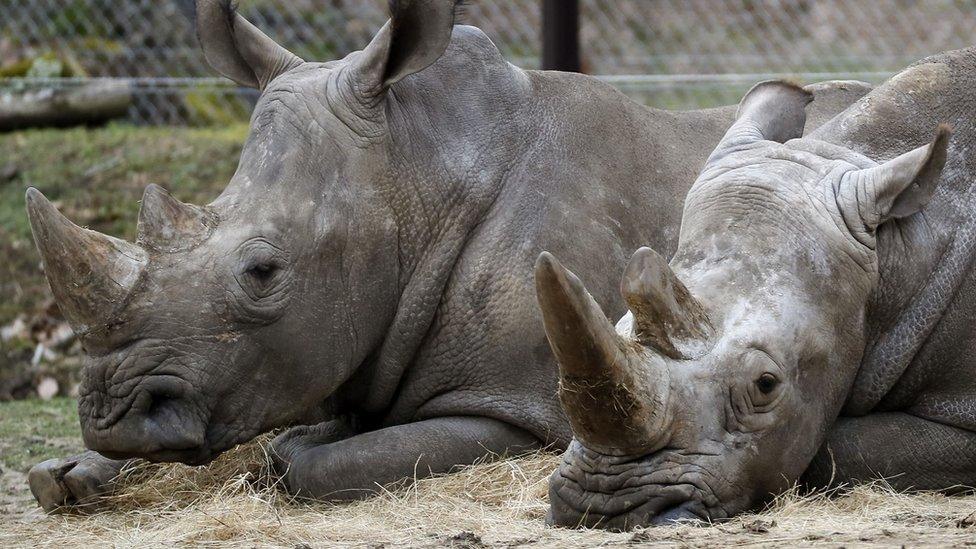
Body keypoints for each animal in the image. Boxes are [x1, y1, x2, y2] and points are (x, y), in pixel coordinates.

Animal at [24, 0, 869, 511]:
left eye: (263, 272)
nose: (113, 416)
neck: (415, 176)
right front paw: (68, 474)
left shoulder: (519, 407)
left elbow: (309, 460)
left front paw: (299, 446)